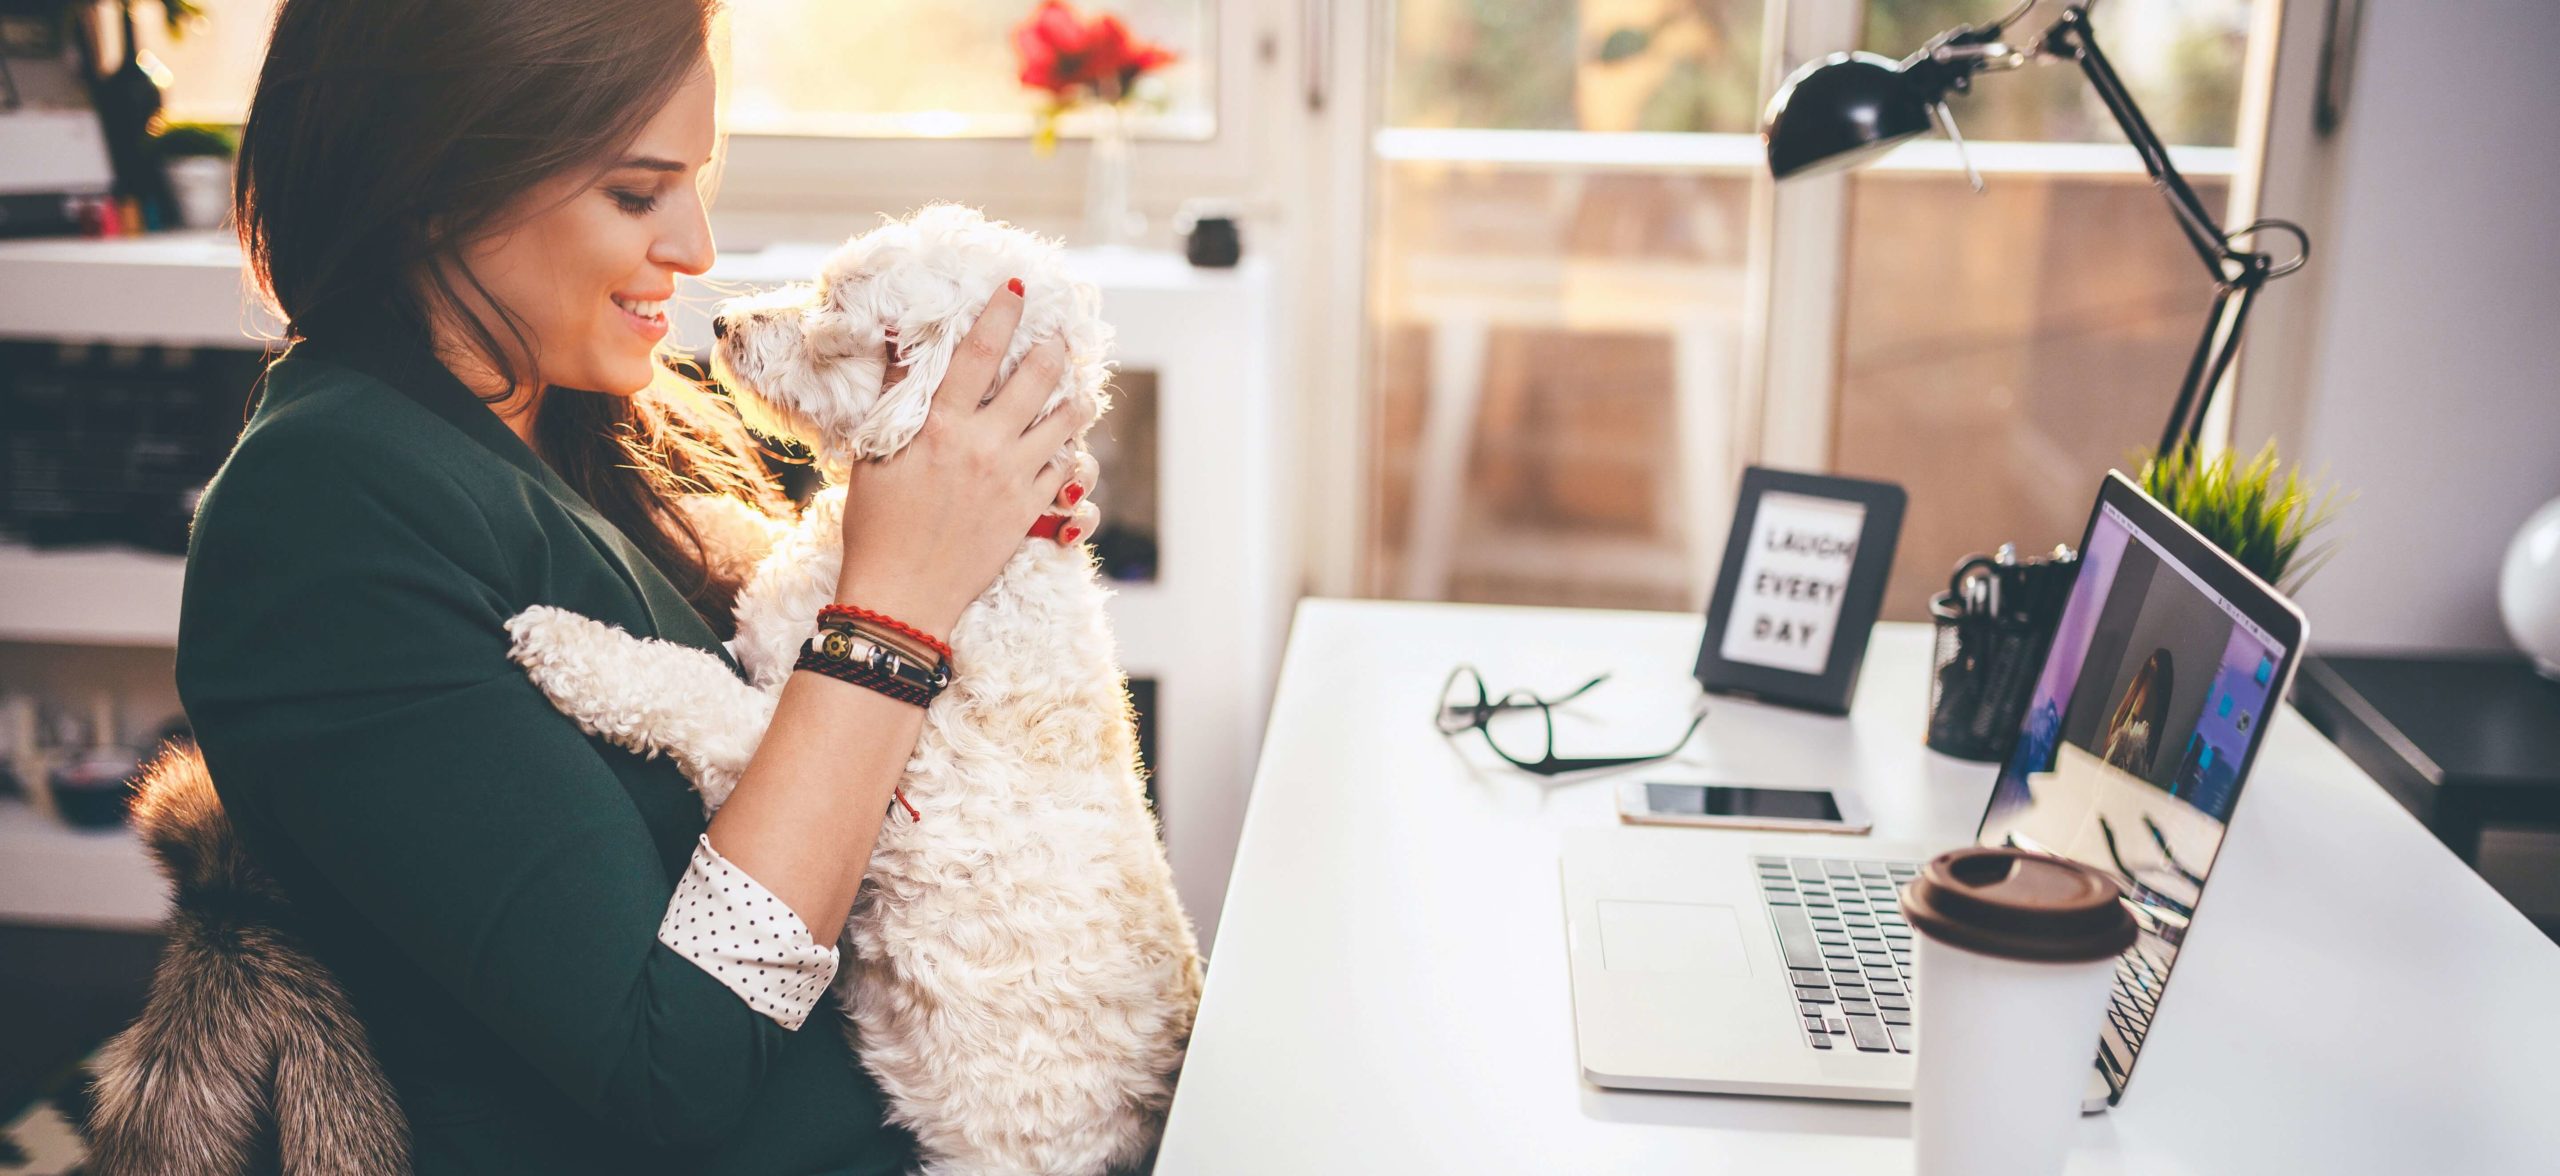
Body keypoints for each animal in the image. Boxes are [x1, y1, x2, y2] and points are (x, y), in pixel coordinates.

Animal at [514, 207, 1213, 1173]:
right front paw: (700, 516)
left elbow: (686, 685)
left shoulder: (775, 747)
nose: (725, 325)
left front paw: (566, 644)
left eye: (841, 309)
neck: (993, 567)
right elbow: (748, 540)